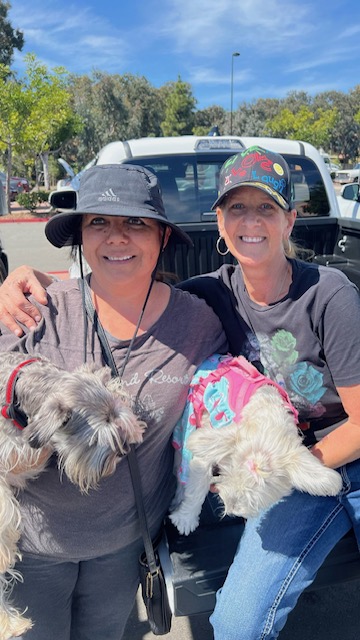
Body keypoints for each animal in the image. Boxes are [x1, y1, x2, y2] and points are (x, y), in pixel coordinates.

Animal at [170, 356, 342, 536]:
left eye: (255, 499)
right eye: (227, 473)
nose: (230, 508)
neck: (267, 417)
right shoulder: (208, 445)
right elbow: (196, 488)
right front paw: (185, 519)